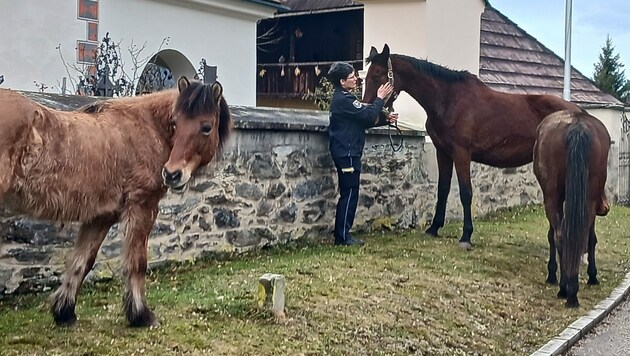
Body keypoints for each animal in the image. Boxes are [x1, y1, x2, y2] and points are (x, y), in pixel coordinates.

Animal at [0, 76, 232, 326]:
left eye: (206, 127)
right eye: (175, 123)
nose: (172, 174)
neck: (147, 128)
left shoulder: (100, 217)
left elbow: (82, 262)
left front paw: (65, 312)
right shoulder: (142, 206)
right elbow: (136, 262)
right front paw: (141, 315)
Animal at [360, 44, 612, 249]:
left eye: (378, 75)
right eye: (366, 76)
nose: (368, 110)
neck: (448, 100)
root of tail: (580, 114)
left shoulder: (461, 153)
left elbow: (465, 193)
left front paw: (466, 236)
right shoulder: (443, 153)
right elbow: (442, 190)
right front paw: (434, 228)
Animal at [540, 110, 612, 308]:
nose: (605, 207)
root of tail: (577, 125)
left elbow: (552, 235)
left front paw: (552, 274)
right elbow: (591, 238)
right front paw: (593, 276)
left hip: (553, 196)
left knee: (561, 235)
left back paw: (566, 289)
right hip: (587, 199)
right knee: (576, 235)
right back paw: (571, 290)